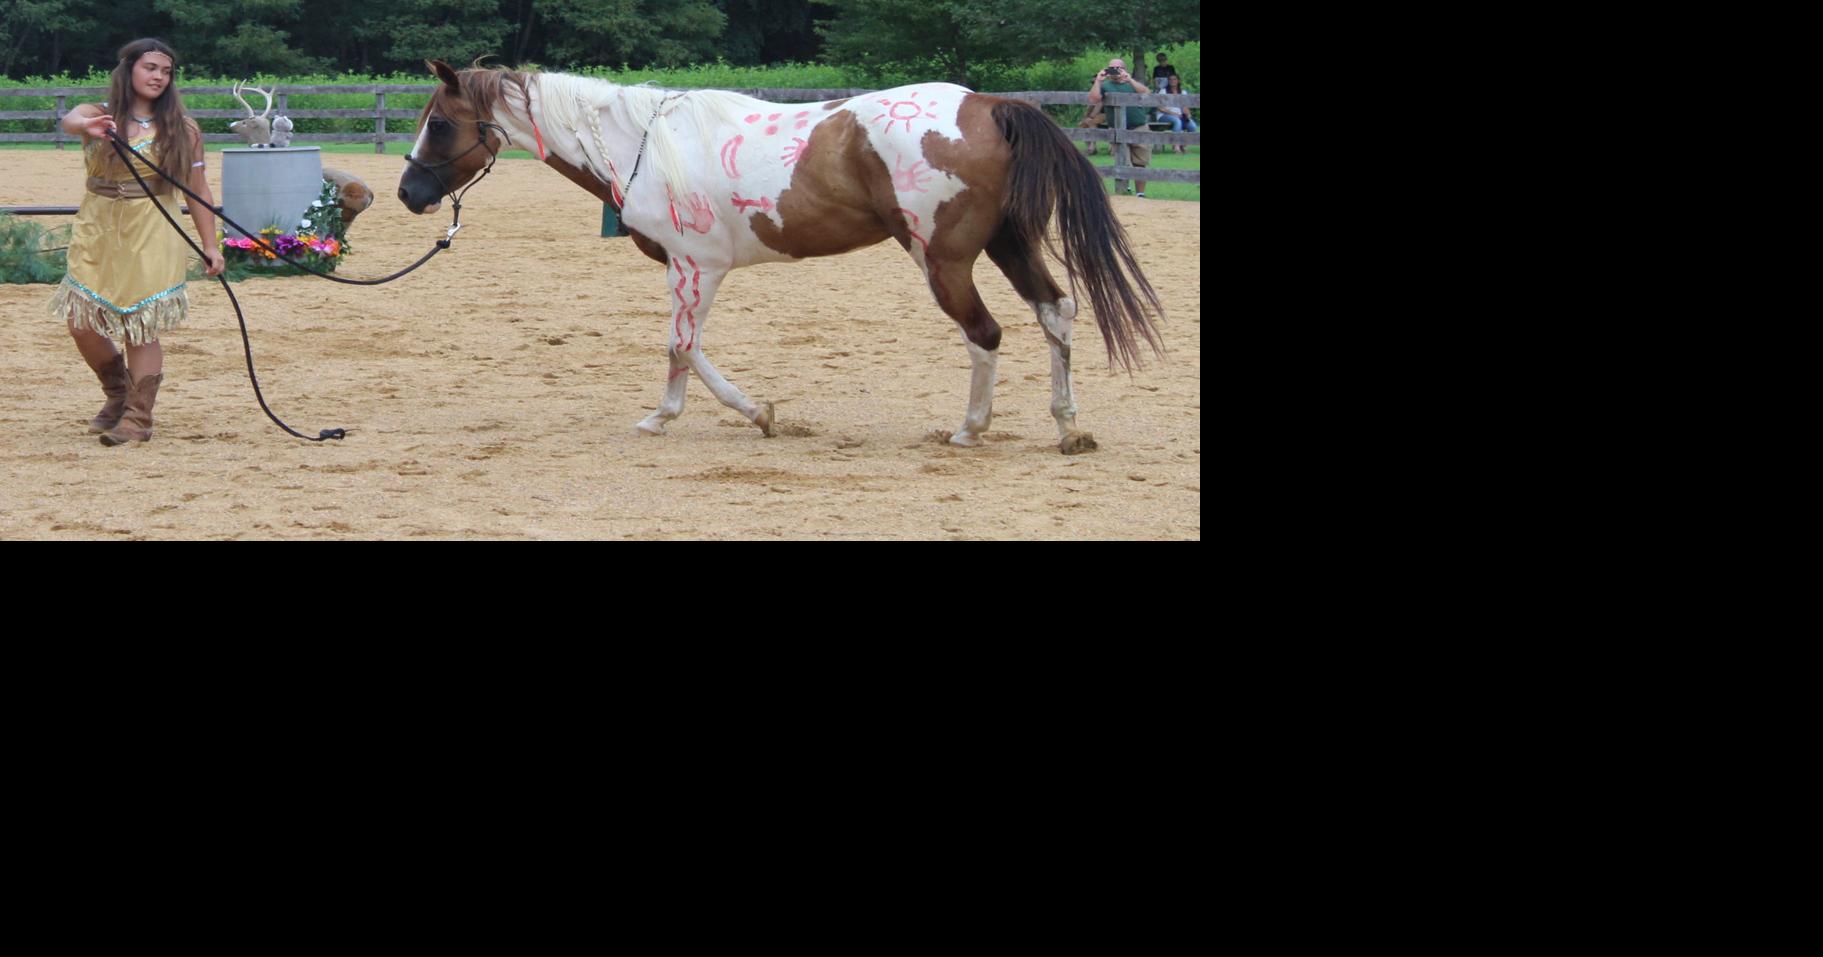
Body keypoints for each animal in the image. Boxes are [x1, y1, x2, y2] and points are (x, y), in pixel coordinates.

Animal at [398, 60, 1162, 454]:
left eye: (439, 124)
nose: (407, 192)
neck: (641, 144)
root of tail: (988, 105)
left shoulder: (693, 267)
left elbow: (678, 346)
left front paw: (667, 417)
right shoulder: (695, 271)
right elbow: (692, 346)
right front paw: (757, 412)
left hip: (945, 261)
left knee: (986, 333)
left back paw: (970, 429)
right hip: (1009, 244)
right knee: (1056, 311)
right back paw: (1066, 425)